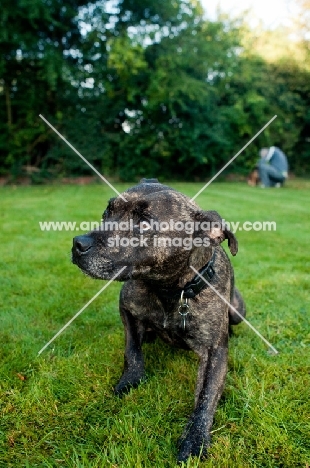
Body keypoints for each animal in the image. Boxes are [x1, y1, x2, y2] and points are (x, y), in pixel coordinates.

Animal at [71, 178, 246, 460]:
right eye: (107, 211)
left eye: (144, 223)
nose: (78, 243)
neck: (169, 291)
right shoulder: (127, 311)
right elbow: (132, 350)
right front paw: (130, 380)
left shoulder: (214, 352)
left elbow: (206, 395)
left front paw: (195, 438)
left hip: (238, 311)